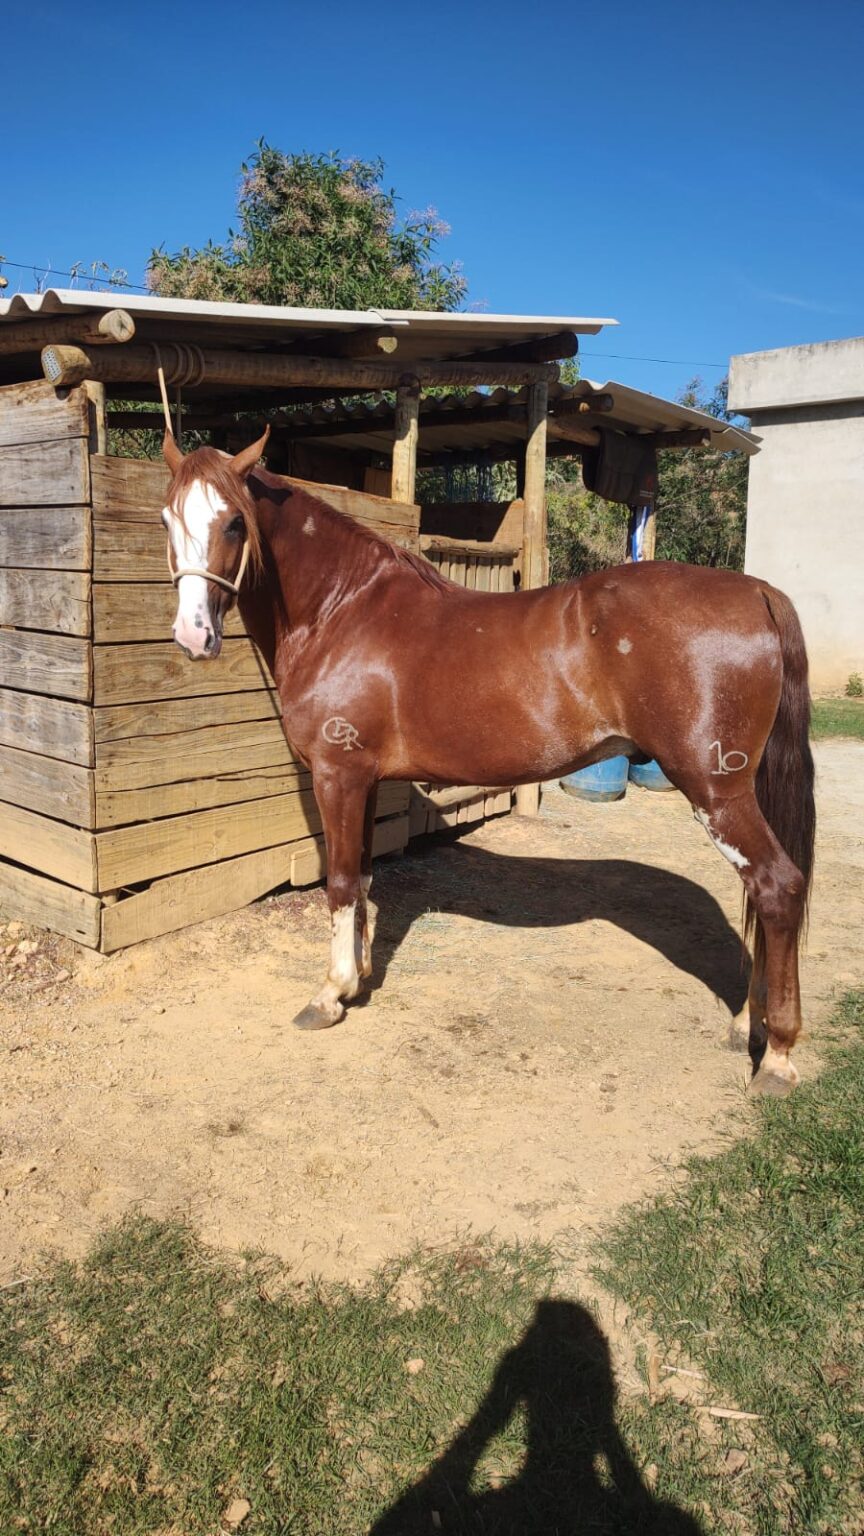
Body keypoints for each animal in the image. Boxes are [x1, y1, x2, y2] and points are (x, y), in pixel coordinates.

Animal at [160, 427, 815, 1095]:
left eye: (234, 521)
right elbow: (364, 877)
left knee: (778, 886)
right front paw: (360, 978)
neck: (342, 610)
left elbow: (340, 882)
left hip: (716, 792)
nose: (193, 635)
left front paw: (330, 994)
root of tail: (757, 591)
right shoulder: (364, 780)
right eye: (167, 518)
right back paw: (747, 1025)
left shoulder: (337, 775)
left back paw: (778, 1056)